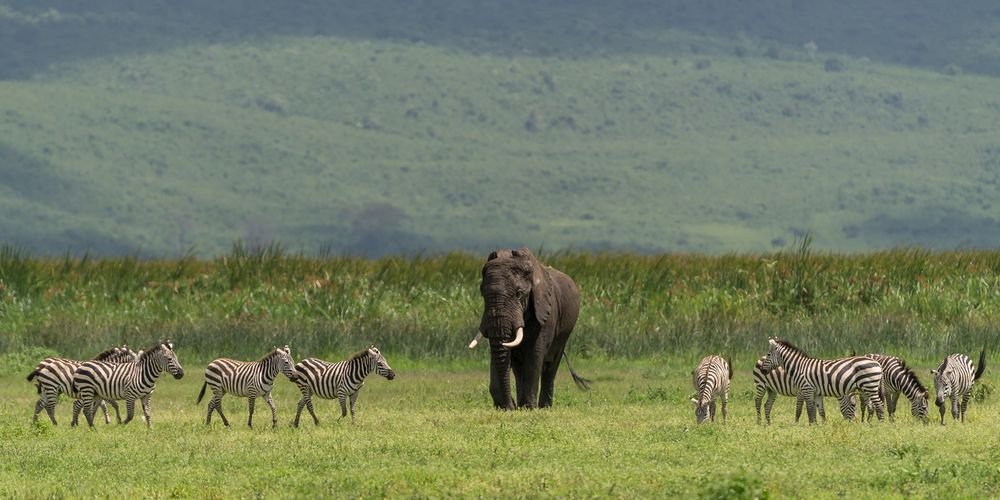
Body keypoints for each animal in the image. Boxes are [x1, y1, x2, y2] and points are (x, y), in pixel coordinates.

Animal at [466, 248, 588, 408]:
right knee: (519, 368)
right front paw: (513, 407)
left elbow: (534, 355)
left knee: (551, 366)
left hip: (564, 334)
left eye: (519, 294)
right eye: (483, 294)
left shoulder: (545, 312)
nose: (510, 406)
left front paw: (529, 408)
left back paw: (543, 406)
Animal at [760, 338, 888, 424]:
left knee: (879, 405)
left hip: (870, 386)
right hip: (865, 388)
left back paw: (880, 425)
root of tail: (878, 363)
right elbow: (819, 411)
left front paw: (811, 425)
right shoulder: (817, 392)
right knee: (872, 406)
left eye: (768, 354)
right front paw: (819, 426)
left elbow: (810, 410)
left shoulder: (807, 389)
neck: (799, 367)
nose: (762, 370)